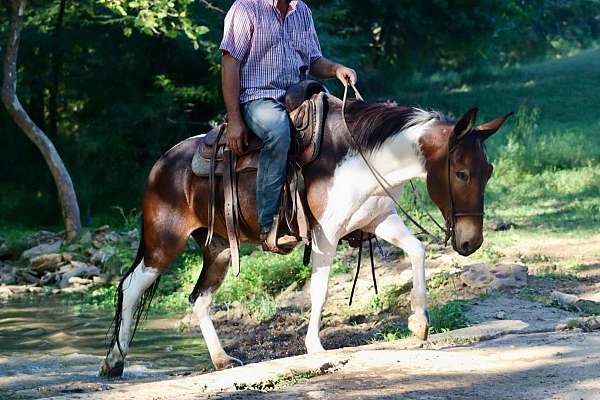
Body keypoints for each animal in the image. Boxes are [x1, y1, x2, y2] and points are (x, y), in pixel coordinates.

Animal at [98, 94, 510, 378]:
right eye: (460, 173)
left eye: (488, 170)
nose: (470, 242)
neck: (364, 158)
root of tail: (161, 164)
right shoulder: (326, 235)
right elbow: (320, 290)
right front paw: (314, 346)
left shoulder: (379, 220)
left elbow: (418, 250)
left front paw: (419, 323)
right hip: (164, 243)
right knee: (132, 287)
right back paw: (113, 362)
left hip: (218, 248)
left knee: (199, 299)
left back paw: (221, 359)